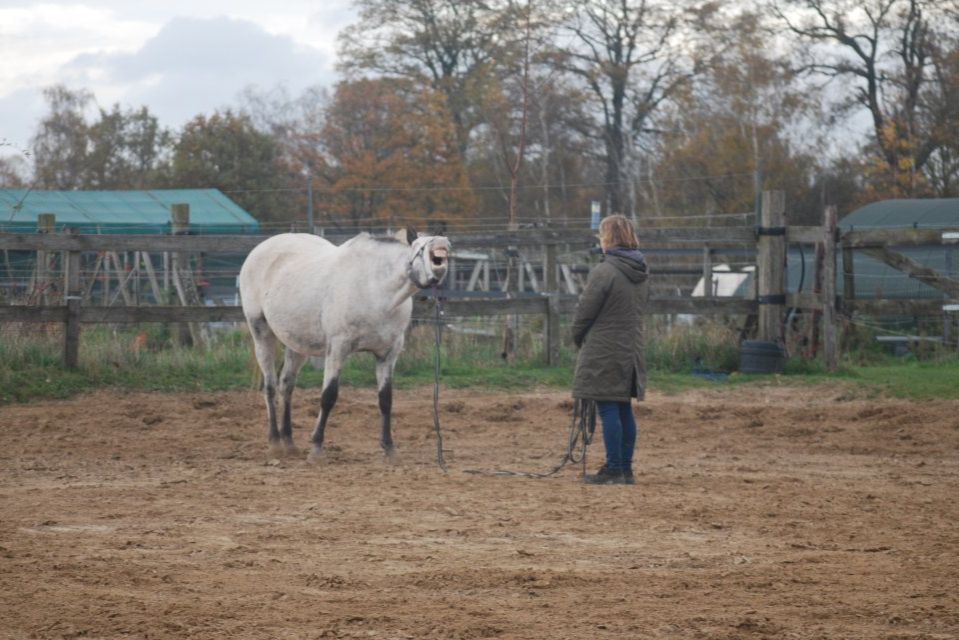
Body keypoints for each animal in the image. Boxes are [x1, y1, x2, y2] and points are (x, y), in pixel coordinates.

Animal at [238, 228, 450, 461]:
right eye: (420, 246)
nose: (442, 242)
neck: (375, 290)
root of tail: (259, 250)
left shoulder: (388, 354)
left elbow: (386, 399)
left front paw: (389, 448)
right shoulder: (338, 349)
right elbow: (328, 396)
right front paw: (316, 448)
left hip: (297, 344)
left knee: (286, 385)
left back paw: (289, 443)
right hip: (261, 331)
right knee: (270, 386)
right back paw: (275, 443)